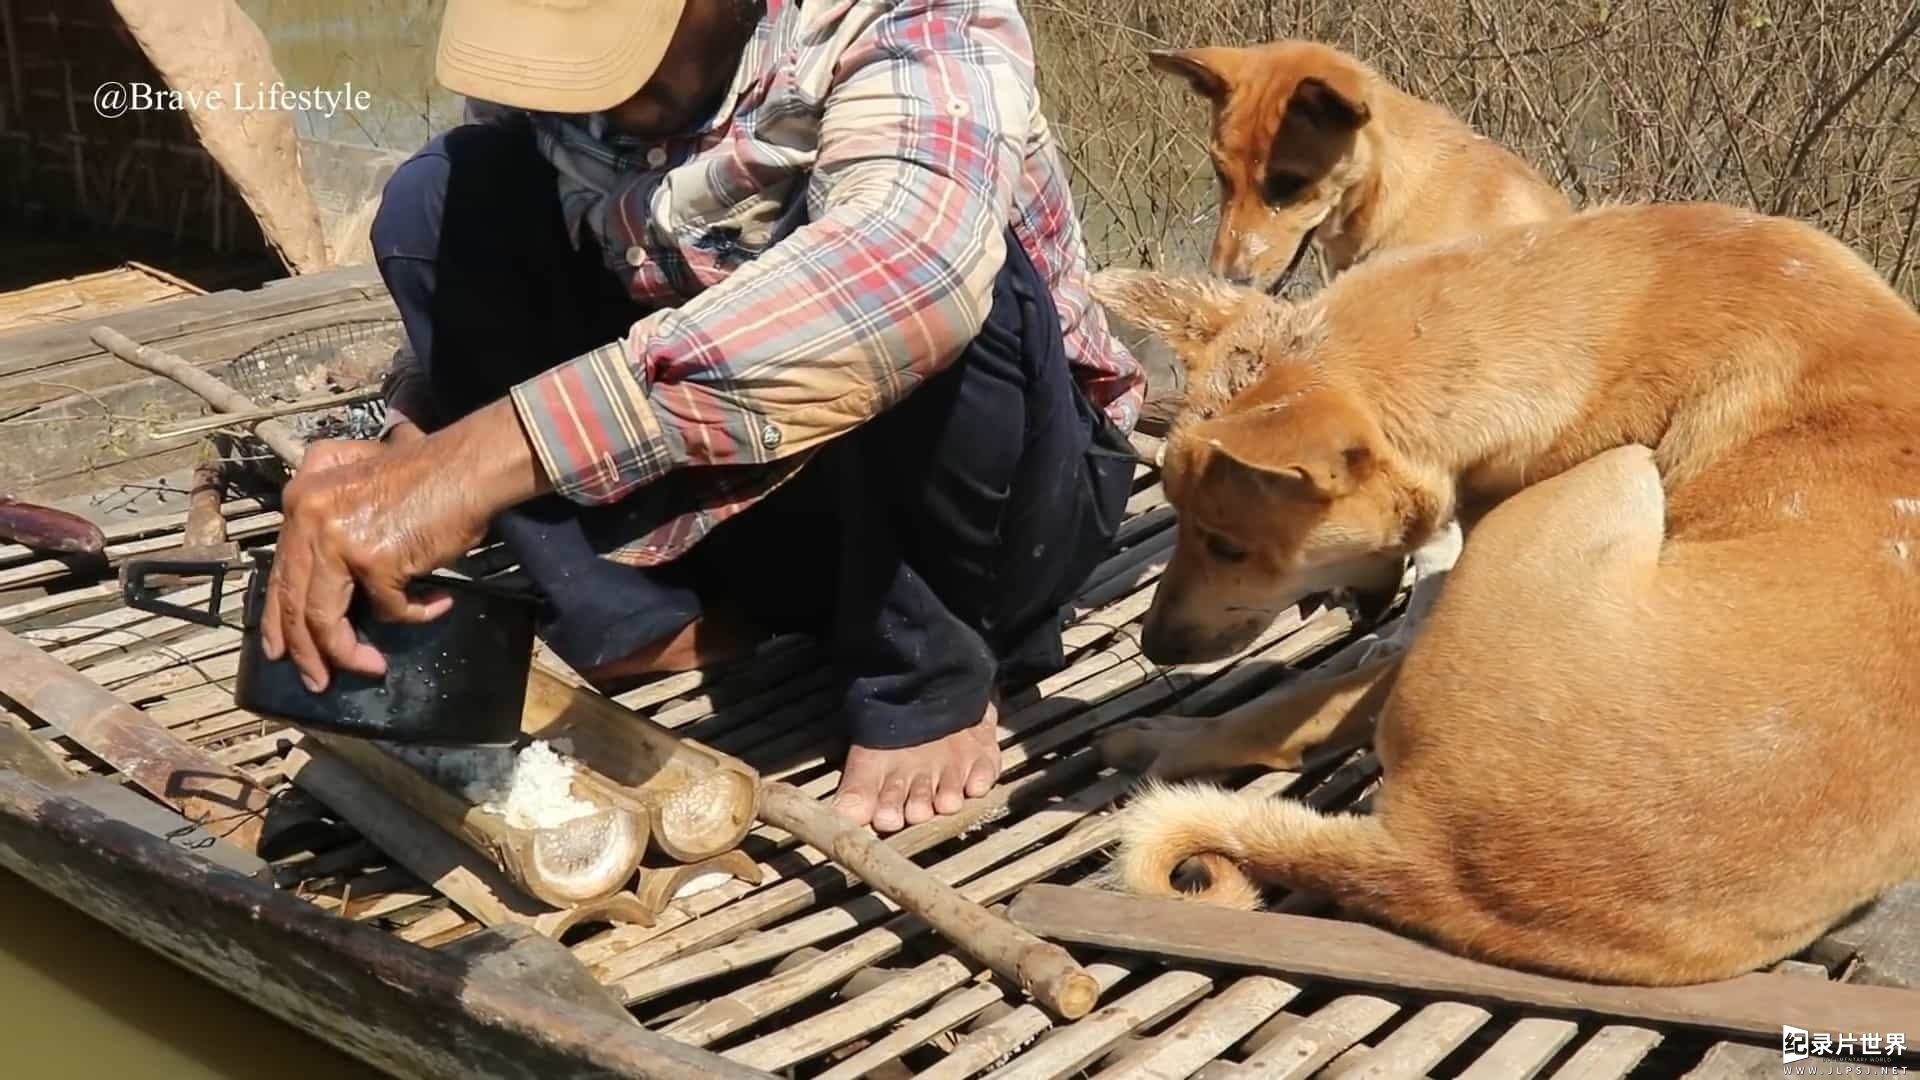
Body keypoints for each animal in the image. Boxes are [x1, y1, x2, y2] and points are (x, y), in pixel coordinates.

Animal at [1090, 201, 1920, 983]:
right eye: (1172, 509)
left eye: (1228, 545)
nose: (1156, 644)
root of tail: (1425, 857)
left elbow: (1300, 700)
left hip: (1620, 473)